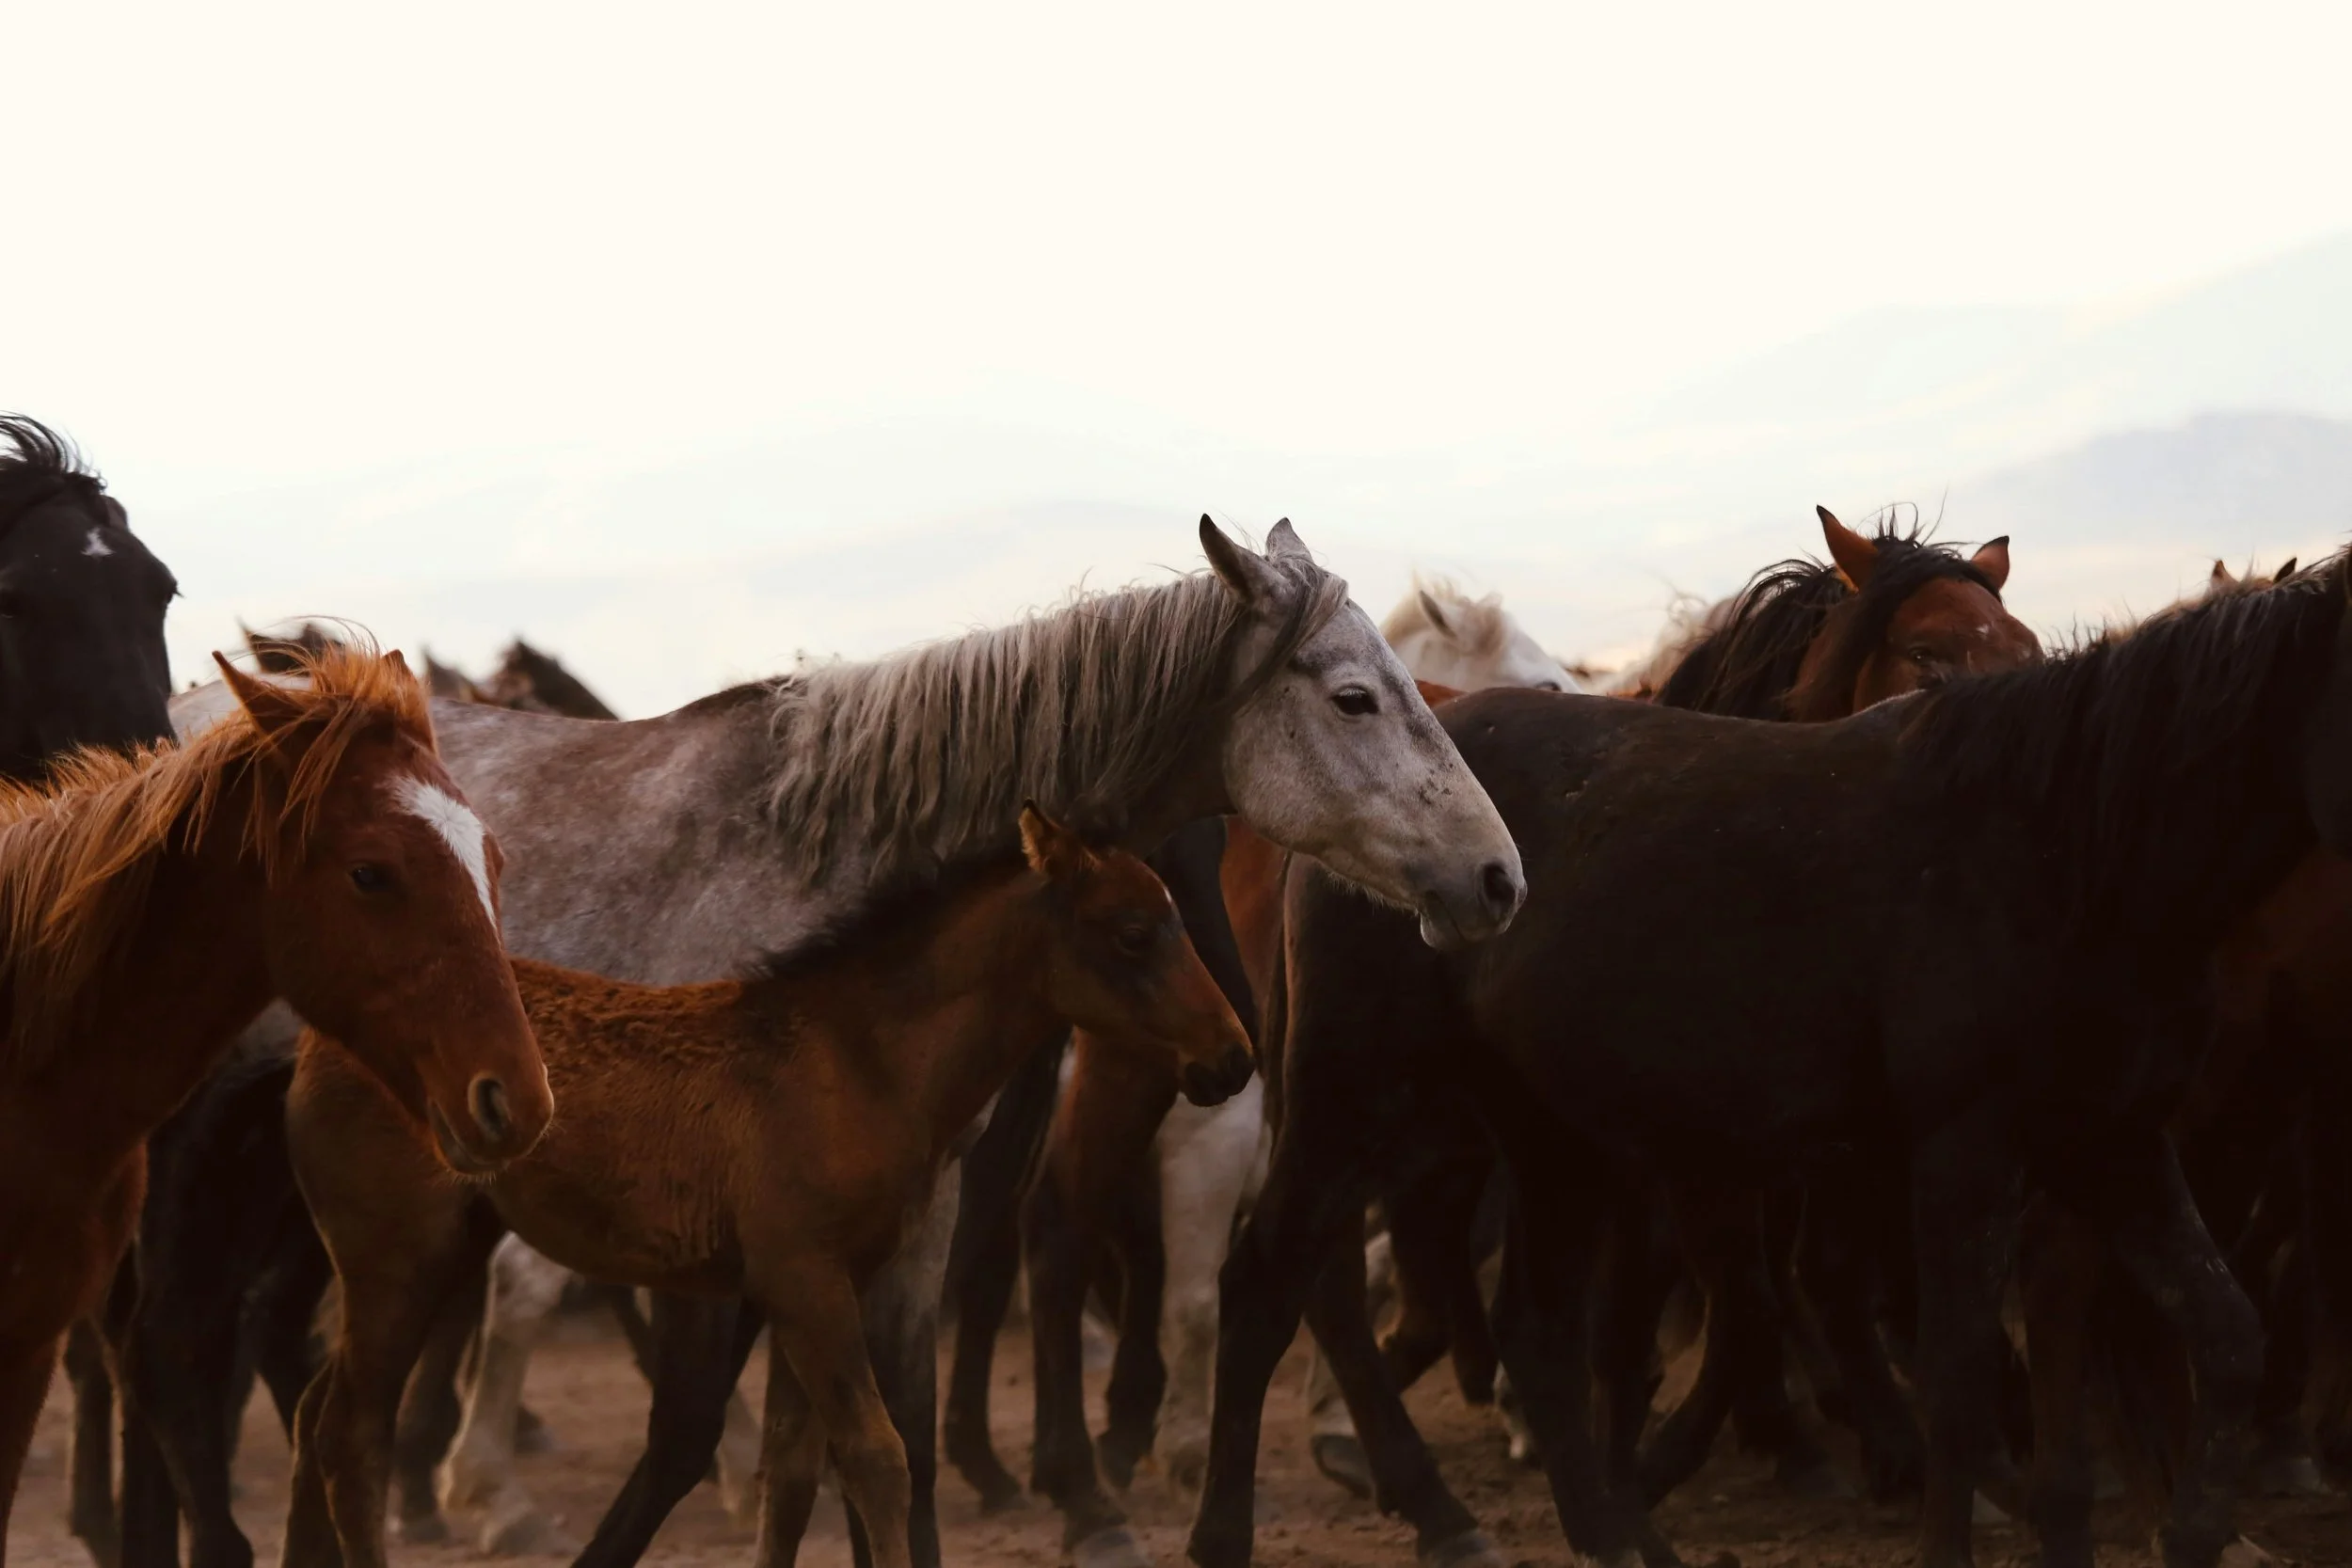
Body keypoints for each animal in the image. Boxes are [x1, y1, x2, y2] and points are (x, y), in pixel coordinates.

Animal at [280, 806, 1247, 1568]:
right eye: (1133, 932)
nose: (1232, 1057)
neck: (856, 1059)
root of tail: (329, 1037)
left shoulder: (799, 1286)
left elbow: (791, 1473)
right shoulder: (807, 1278)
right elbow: (876, 1456)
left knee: (313, 1412)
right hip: (399, 1260)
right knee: (347, 1433)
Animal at [1190, 560, 2352, 1568]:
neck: (2062, 841)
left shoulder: (2114, 1139)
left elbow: (2226, 1330)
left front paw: (2195, 1529)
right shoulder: (1960, 1149)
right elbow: (1957, 1376)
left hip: (1545, 1134)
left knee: (1535, 1328)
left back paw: (1617, 1535)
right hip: (1355, 1097)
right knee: (1272, 1281)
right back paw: (1285, 1525)